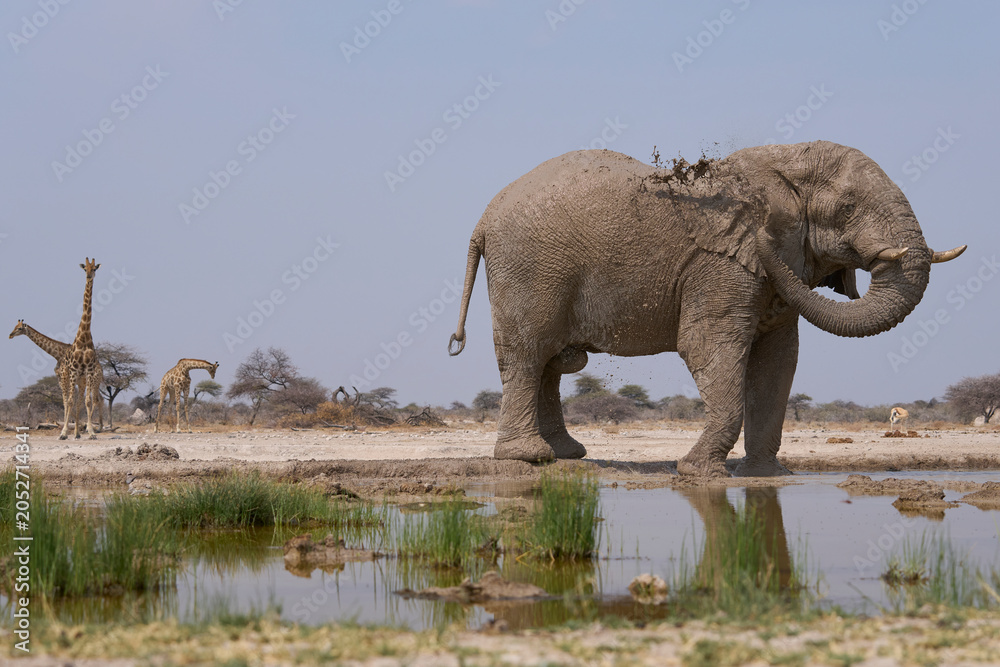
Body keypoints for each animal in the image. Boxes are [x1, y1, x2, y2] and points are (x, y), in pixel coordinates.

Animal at [448, 142, 966, 477]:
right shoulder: (722, 264)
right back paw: (528, 458)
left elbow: (779, 362)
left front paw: (766, 476)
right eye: (848, 206)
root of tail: (482, 220)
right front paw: (698, 472)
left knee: (551, 364)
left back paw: (566, 454)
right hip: (530, 269)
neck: (779, 162)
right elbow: (708, 346)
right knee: (528, 355)